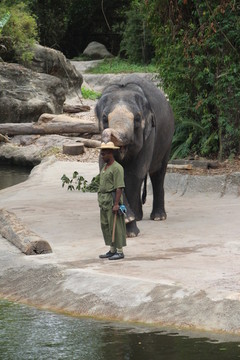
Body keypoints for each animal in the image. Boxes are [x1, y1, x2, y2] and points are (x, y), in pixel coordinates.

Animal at [94, 74, 175, 236]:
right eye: (105, 118)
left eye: (137, 118)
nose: (108, 134)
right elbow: (107, 170)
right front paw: (127, 220)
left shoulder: (149, 135)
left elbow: (135, 173)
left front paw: (130, 227)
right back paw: (139, 216)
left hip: (167, 140)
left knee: (158, 173)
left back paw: (157, 217)